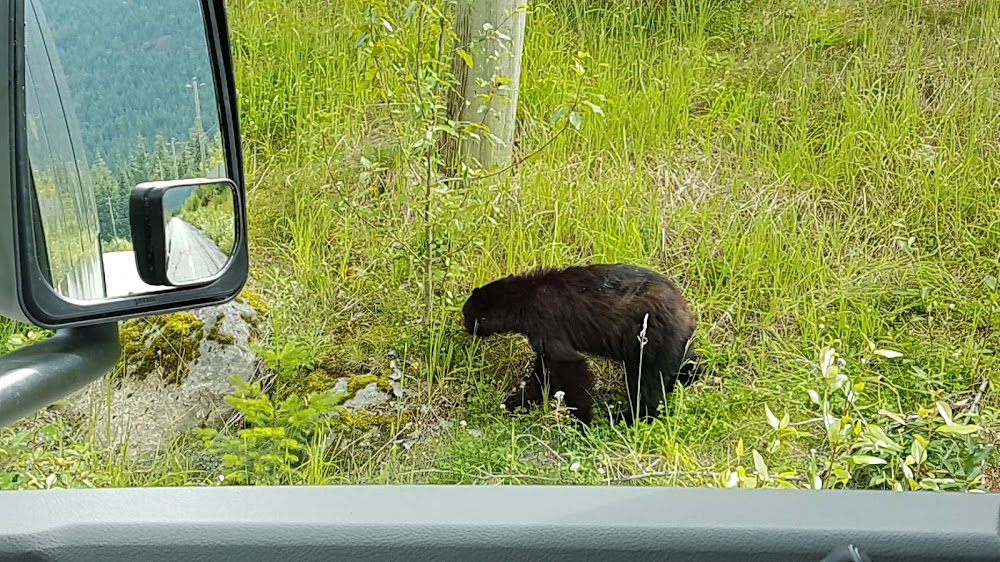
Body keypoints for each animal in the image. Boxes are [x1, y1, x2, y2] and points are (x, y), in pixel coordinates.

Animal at [458, 262, 696, 424]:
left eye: (466, 314)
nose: (465, 326)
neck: (522, 301)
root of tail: (687, 311)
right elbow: (543, 371)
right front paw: (518, 401)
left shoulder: (547, 324)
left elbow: (570, 367)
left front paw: (581, 419)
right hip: (670, 343)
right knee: (684, 362)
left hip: (650, 340)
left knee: (646, 382)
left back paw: (629, 417)